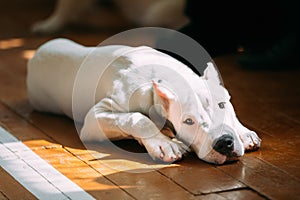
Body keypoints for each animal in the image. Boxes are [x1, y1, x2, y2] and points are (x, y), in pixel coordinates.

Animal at [27, 39, 262, 164]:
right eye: (188, 121)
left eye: (222, 105)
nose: (224, 142)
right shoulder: (94, 119)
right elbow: (137, 118)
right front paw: (163, 143)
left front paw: (243, 132)